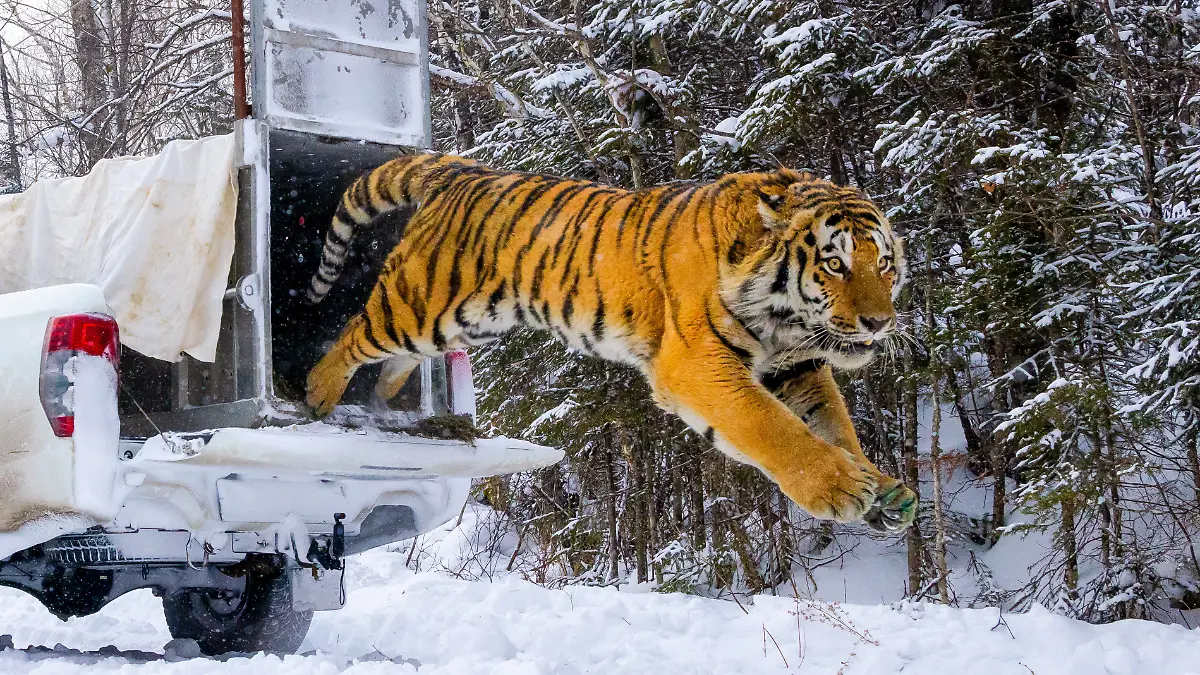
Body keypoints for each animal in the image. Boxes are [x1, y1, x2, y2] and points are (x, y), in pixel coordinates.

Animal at [304, 153, 918, 532]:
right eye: (835, 265)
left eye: (883, 264)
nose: (879, 323)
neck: (785, 320)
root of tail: (461, 169)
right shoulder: (697, 361)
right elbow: (772, 427)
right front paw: (840, 488)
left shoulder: (798, 367)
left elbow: (833, 424)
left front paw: (885, 490)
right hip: (418, 305)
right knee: (356, 331)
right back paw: (316, 393)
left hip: (467, 321)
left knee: (398, 358)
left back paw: (385, 392)